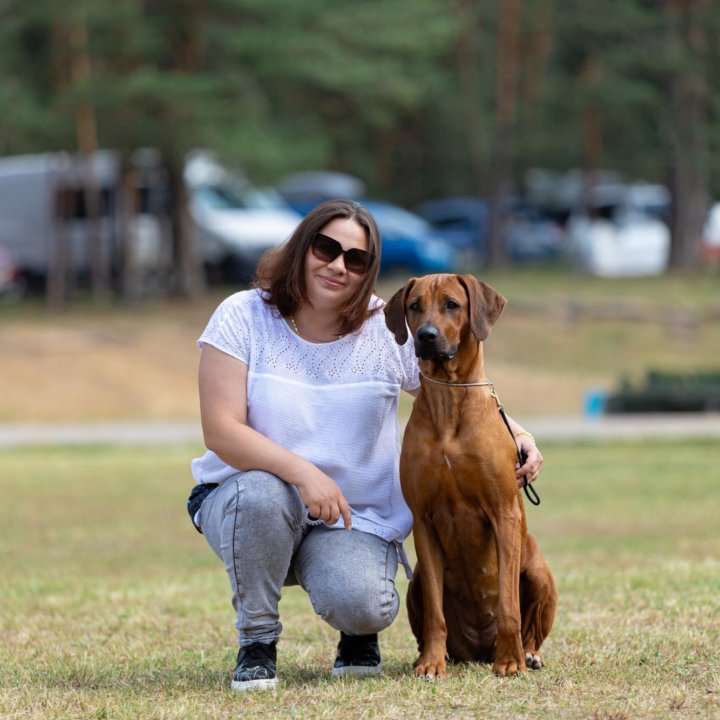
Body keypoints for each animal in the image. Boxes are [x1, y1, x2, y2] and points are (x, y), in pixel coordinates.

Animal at [382, 272, 556, 676]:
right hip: (415, 581)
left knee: (530, 628)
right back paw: (435, 655)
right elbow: (435, 611)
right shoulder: (423, 520)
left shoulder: (503, 512)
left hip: (540, 570)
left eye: (452, 304)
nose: (426, 336)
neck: (450, 399)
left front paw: (509, 663)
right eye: (414, 306)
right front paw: (431, 665)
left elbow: (508, 604)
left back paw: (526, 654)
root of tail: (477, 651)